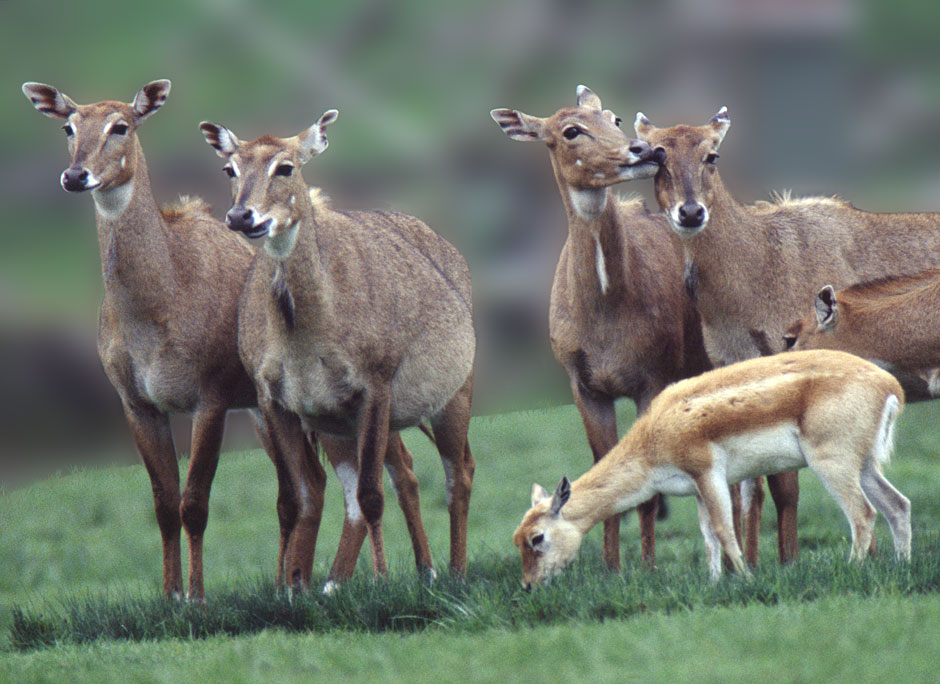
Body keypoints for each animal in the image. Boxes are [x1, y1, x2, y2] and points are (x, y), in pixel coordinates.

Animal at [200, 108, 478, 588]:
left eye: (286, 167)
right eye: (229, 169)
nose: (241, 216)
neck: (301, 330)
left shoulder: (374, 388)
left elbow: (371, 494)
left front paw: (375, 580)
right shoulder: (277, 401)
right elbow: (293, 500)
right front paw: (290, 587)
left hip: (451, 398)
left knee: (456, 475)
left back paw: (455, 572)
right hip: (344, 426)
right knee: (391, 480)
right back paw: (408, 572)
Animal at [492, 85, 712, 568]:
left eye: (614, 118)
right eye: (570, 130)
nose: (645, 150)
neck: (607, 321)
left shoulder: (654, 375)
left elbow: (645, 487)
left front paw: (646, 566)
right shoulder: (585, 384)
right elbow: (602, 465)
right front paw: (612, 566)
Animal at [516, 352, 912, 588]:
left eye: (537, 538)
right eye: (517, 538)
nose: (529, 585)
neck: (653, 436)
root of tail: (890, 386)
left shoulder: (709, 474)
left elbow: (724, 530)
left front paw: (747, 578)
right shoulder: (696, 489)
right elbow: (708, 536)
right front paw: (715, 582)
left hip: (832, 463)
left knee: (863, 514)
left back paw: (853, 568)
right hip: (864, 465)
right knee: (898, 505)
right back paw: (901, 564)